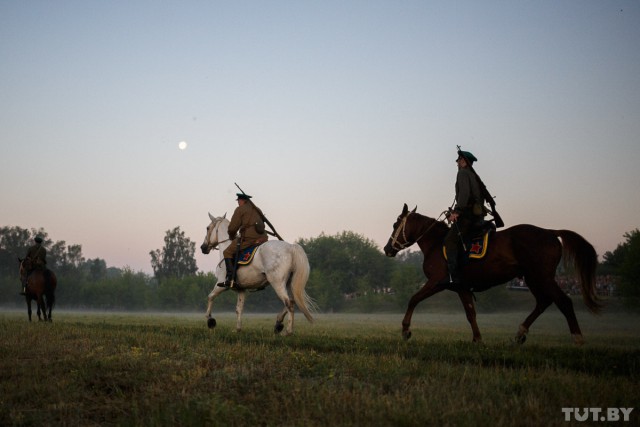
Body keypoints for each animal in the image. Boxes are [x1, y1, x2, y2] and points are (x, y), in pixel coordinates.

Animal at [384, 204, 604, 344]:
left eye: (395, 225)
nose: (387, 249)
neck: (436, 243)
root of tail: (550, 232)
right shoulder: (461, 287)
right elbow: (470, 313)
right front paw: (477, 339)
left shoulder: (437, 282)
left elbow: (413, 299)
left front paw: (405, 330)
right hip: (533, 278)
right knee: (544, 302)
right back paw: (520, 333)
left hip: (542, 277)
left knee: (563, 301)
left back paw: (577, 338)